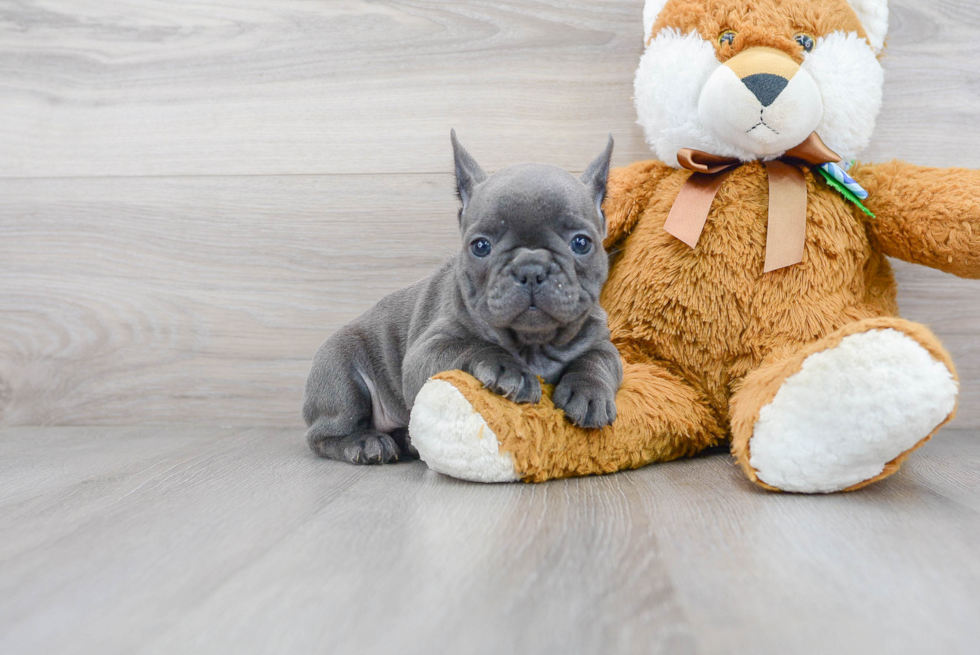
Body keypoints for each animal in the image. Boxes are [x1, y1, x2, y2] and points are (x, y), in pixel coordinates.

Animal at [302, 131, 624, 464]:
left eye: (581, 243)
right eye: (480, 246)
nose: (531, 267)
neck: (531, 344)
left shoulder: (602, 344)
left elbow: (596, 362)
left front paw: (589, 393)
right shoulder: (426, 353)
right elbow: (473, 346)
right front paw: (507, 369)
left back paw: (406, 440)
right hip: (341, 377)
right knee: (323, 434)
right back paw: (366, 443)